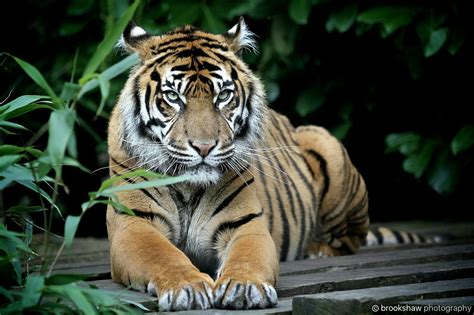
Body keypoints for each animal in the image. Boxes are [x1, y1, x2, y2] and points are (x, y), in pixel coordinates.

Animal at [105, 18, 368, 312]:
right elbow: (163, 256)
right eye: (173, 96)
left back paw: (317, 251)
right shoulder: (134, 223)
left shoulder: (246, 223)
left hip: (326, 145)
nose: (204, 147)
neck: (188, 187)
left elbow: (247, 257)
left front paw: (245, 287)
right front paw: (187, 287)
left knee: (351, 239)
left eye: (223, 96)